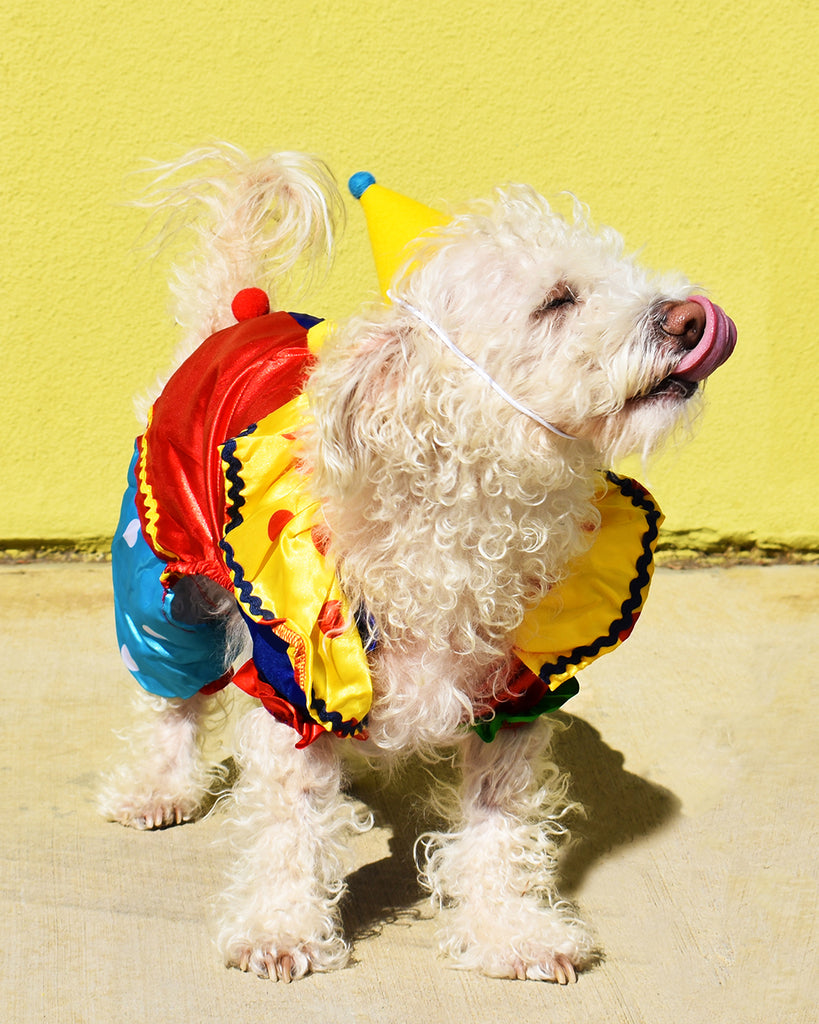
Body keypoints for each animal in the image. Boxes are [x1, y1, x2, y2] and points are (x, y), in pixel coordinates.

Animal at [100, 144, 737, 983]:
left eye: (625, 273)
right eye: (556, 300)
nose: (690, 315)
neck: (466, 510)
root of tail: (238, 314)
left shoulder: (518, 697)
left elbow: (499, 824)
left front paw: (508, 930)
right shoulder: (293, 687)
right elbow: (287, 823)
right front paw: (280, 927)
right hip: (160, 574)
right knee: (171, 697)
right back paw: (159, 785)